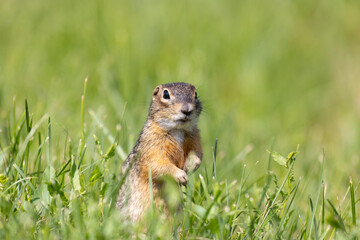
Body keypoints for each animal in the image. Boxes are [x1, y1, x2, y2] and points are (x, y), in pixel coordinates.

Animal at [117, 82, 202, 221]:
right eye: (166, 94)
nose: (187, 110)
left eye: (195, 94)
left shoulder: (195, 139)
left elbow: (197, 155)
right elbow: (158, 164)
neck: (178, 129)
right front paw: (181, 175)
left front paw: (189, 167)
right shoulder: (152, 146)